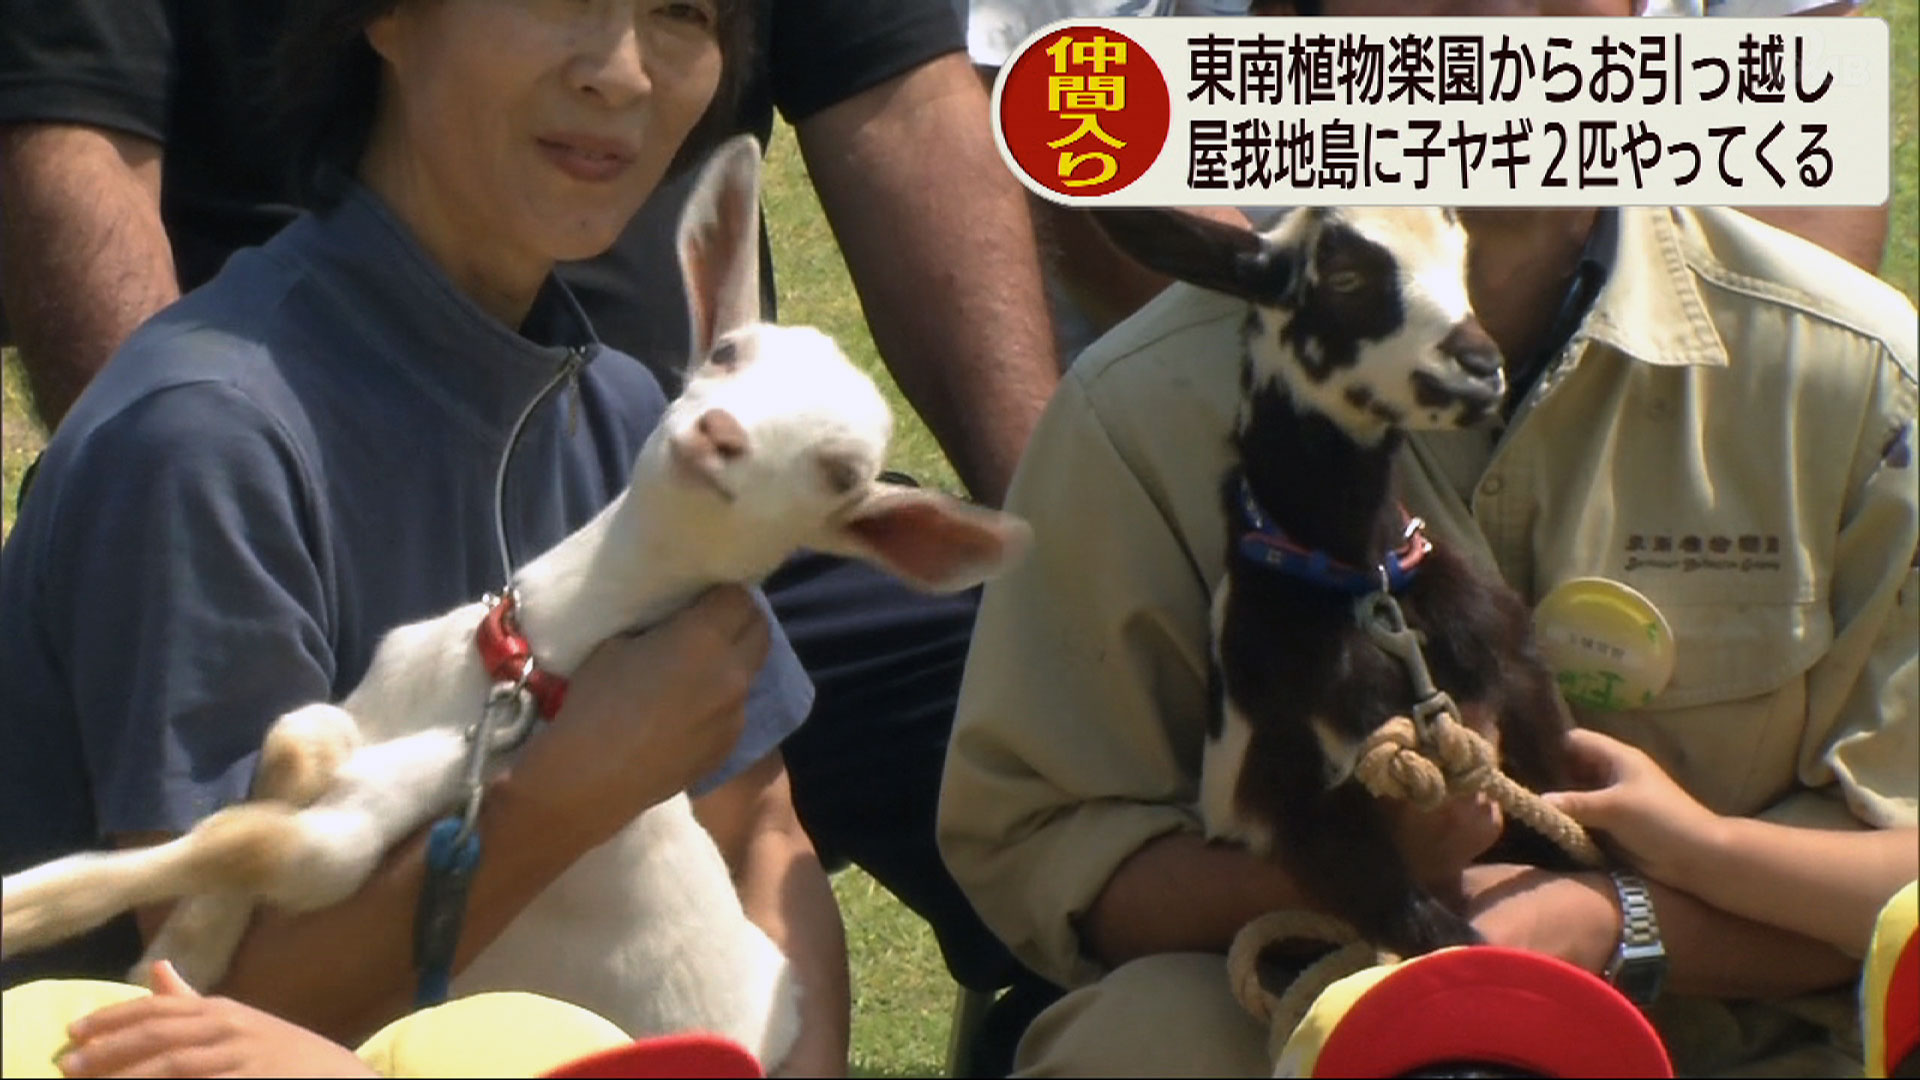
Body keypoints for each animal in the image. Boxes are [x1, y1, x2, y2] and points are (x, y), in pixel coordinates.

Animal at [0, 134, 1036, 1068]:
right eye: (729, 351)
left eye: (840, 474)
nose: (720, 435)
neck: (510, 668)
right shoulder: (374, 718)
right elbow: (288, 749)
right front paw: (183, 947)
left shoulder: (419, 808)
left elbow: (272, 848)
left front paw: (30, 911)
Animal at [1098, 205, 1574, 953]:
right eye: (1345, 278)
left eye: (1461, 255)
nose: (1478, 365)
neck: (1363, 580)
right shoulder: (1296, 792)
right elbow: (1423, 927)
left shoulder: (1522, 688)